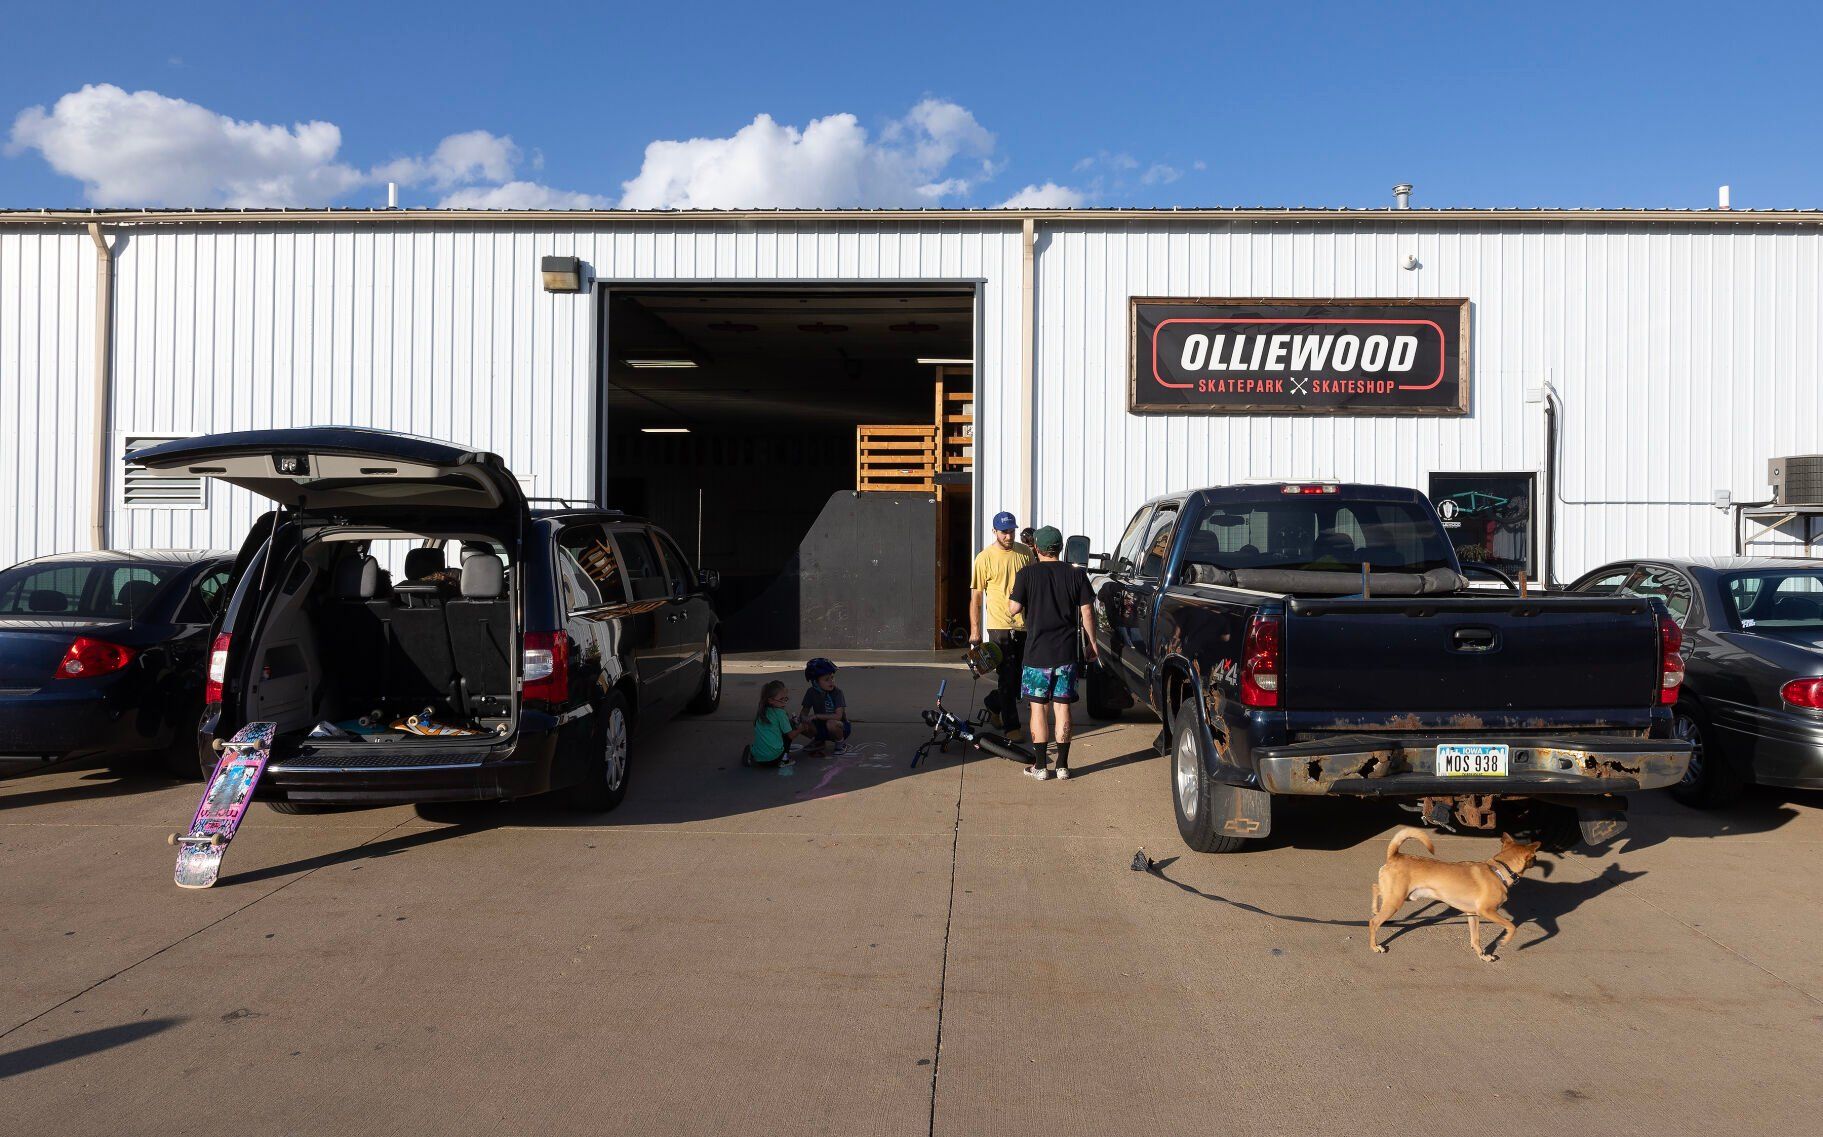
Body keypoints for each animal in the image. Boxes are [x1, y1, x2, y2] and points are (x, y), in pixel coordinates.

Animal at [1370, 827, 1538, 962]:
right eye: (1535, 856)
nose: (1536, 860)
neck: (1498, 870)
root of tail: (1395, 855)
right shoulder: (1487, 911)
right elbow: (1511, 925)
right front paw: (1504, 941)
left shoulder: (1473, 915)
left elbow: (1475, 939)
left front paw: (1482, 955)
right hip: (1395, 901)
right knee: (1373, 922)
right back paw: (1375, 946)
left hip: (1396, 896)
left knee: (1376, 887)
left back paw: (1375, 908)